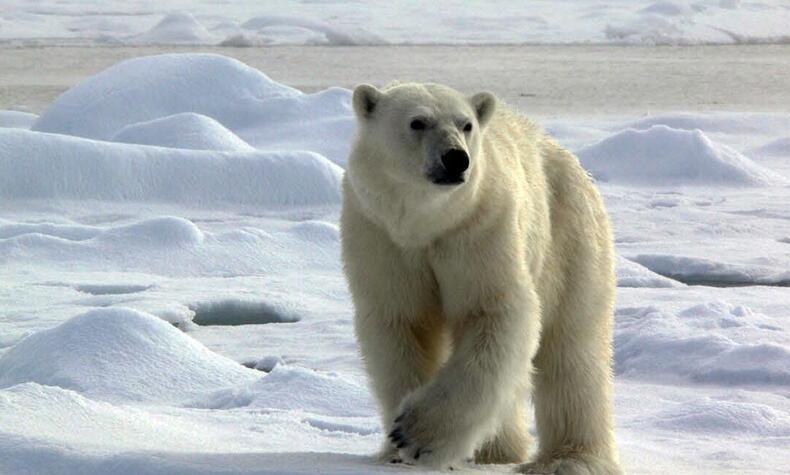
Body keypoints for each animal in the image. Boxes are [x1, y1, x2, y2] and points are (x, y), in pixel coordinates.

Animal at [340, 82, 624, 475]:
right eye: (418, 122)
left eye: (466, 125)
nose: (456, 158)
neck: (425, 224)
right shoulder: (380, 234)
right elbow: (403, 323)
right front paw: (395, 448)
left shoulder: (478, 227)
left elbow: (492, 312)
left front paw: (416, 435)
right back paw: (496, 451)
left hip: (569, 239)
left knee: (572, 350)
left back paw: (568, 459)